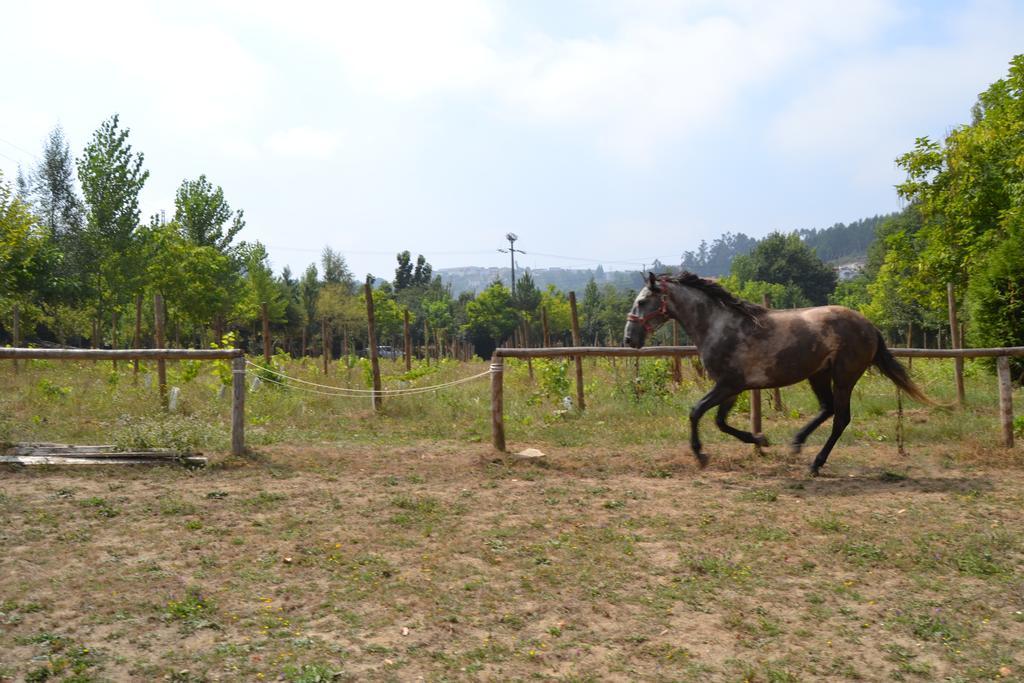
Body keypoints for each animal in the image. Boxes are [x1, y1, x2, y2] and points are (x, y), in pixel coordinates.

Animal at [618, 272, 933, 475]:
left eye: (642, 302)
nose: (629, 339)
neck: (719, 326)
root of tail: (869, 326)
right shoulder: (732, 387)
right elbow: (720, 421)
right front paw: (761, 440)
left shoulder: (729, 384)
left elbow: (697, 412)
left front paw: (701, 455)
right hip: (818, 374)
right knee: (827, 408)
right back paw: (796, 443)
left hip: (844, 377)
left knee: (841, 418)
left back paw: (815, 463)